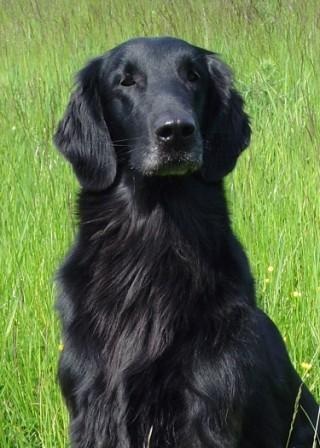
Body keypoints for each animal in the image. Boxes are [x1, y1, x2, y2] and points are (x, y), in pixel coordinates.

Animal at [54, 36, 318, 446]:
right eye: (125, 81)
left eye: (193, 76)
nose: (176, 131)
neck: (155, 240)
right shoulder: (93, 402)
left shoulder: (207, 404)